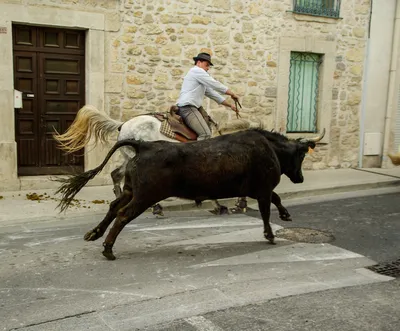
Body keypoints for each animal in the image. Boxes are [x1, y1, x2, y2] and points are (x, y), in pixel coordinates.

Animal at [57, 128, 322, 260]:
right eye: (302, 154)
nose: (300, 178)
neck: (269, 148)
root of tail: (143, 145)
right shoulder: (263, 189)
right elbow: (268, 209)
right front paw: (270, 234)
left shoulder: (260, 190)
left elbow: (276, 200)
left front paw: (285, 216)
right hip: (144, 197)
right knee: (122, 214)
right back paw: (108, 249)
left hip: (132, 190)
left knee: (113, 207)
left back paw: (94, 234)